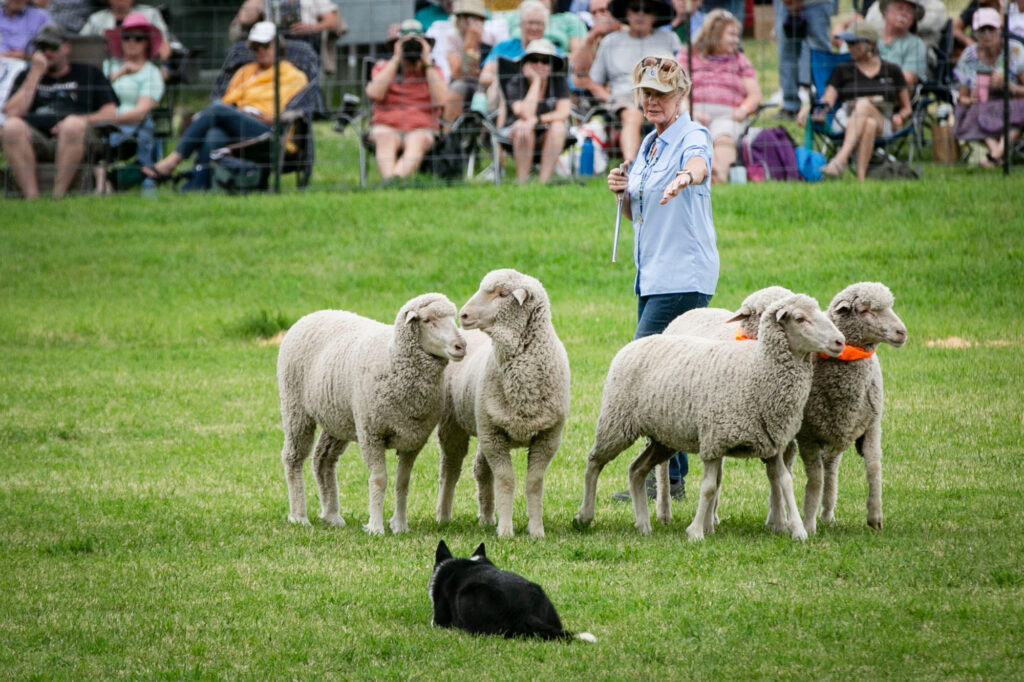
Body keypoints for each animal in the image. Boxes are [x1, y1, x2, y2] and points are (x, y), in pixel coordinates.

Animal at [274, 294, 466, 532]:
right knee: (293, 458)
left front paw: (400, 526)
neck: (393, 360)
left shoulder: (413, 439)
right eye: (428, 320)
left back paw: (331, 515)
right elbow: (379, 479)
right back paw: (299, 516)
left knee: (323, 460)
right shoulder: (371, 433)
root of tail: (312, 314)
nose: (461, 345)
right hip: (296, 408)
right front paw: (375, 527)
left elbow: (403, 483)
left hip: (338, 418)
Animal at [436, 268, 573, 540]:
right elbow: (506, 480)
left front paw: (536, 530)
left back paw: (487, 517)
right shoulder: (495, 436)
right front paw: (507, 531)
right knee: (451, 469)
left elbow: (534, 483)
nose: (463, 314)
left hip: (485, 424)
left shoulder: (547, 438)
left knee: (481, 470)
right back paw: (444, 516)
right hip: (455, 425)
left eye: (502, 294)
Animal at [573, 292, 843, 536]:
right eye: (799, 318)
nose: (840, 341)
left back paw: (643, 524)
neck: (757, 368)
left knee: (636, 470)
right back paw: (585, 516)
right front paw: (696, 531)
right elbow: (709, 488)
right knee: (594, 462)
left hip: (664, 436)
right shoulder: (715, 440)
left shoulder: (773, 442)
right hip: (616, 422)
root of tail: (637, 342)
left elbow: (785, 482)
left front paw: (798, 530)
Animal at [770, 278, 909, 532]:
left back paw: (827, 513)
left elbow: (874, 467)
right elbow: (814, 480)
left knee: (831, 468)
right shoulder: (808, 436)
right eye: (865, 310)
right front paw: (808, 524)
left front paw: (875, 516)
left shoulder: (872, 425)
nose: (902, 332)